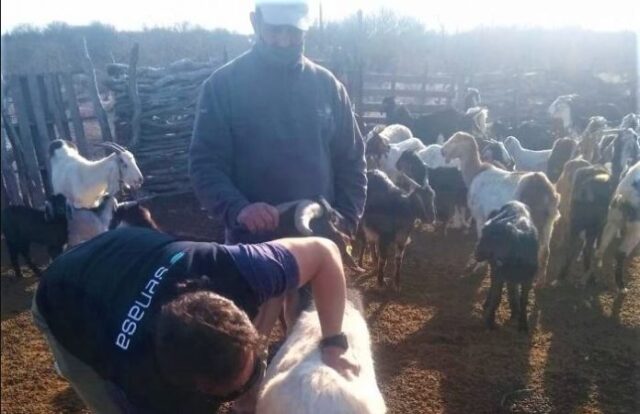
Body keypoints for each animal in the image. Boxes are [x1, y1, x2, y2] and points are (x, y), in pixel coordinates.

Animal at [475, 201, 539, 332]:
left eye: (493, 237)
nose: (476, 254)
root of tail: (514, 202)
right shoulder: (499, 273)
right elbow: (497, 297)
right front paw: (490, 322)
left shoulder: (528, 279)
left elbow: (524, 300)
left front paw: (523, 324)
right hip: (495, 269)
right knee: (494, 286)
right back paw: (488, 303)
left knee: (511, 287)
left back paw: (515, 311)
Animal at [594, 161, 640, 293]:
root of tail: (623, 196)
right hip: (635, 229)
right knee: (619, 253)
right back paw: (622, 288)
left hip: (613, 219)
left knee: (601, 247)